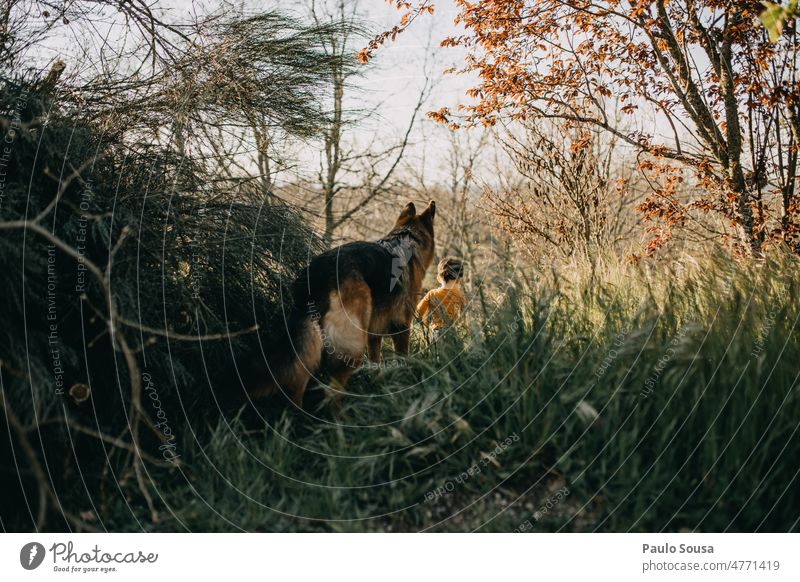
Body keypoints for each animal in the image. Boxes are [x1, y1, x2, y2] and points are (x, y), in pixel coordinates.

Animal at [250, 203, 438, 408]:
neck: (406, 237)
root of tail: (320, 271)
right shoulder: (401, 326)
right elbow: (404, 357)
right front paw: (406, 383)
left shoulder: (374, 333)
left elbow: (375, 362)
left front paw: (378, 385)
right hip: (352, 345)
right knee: (331, 393)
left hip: (312, 339)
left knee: (297, 382)